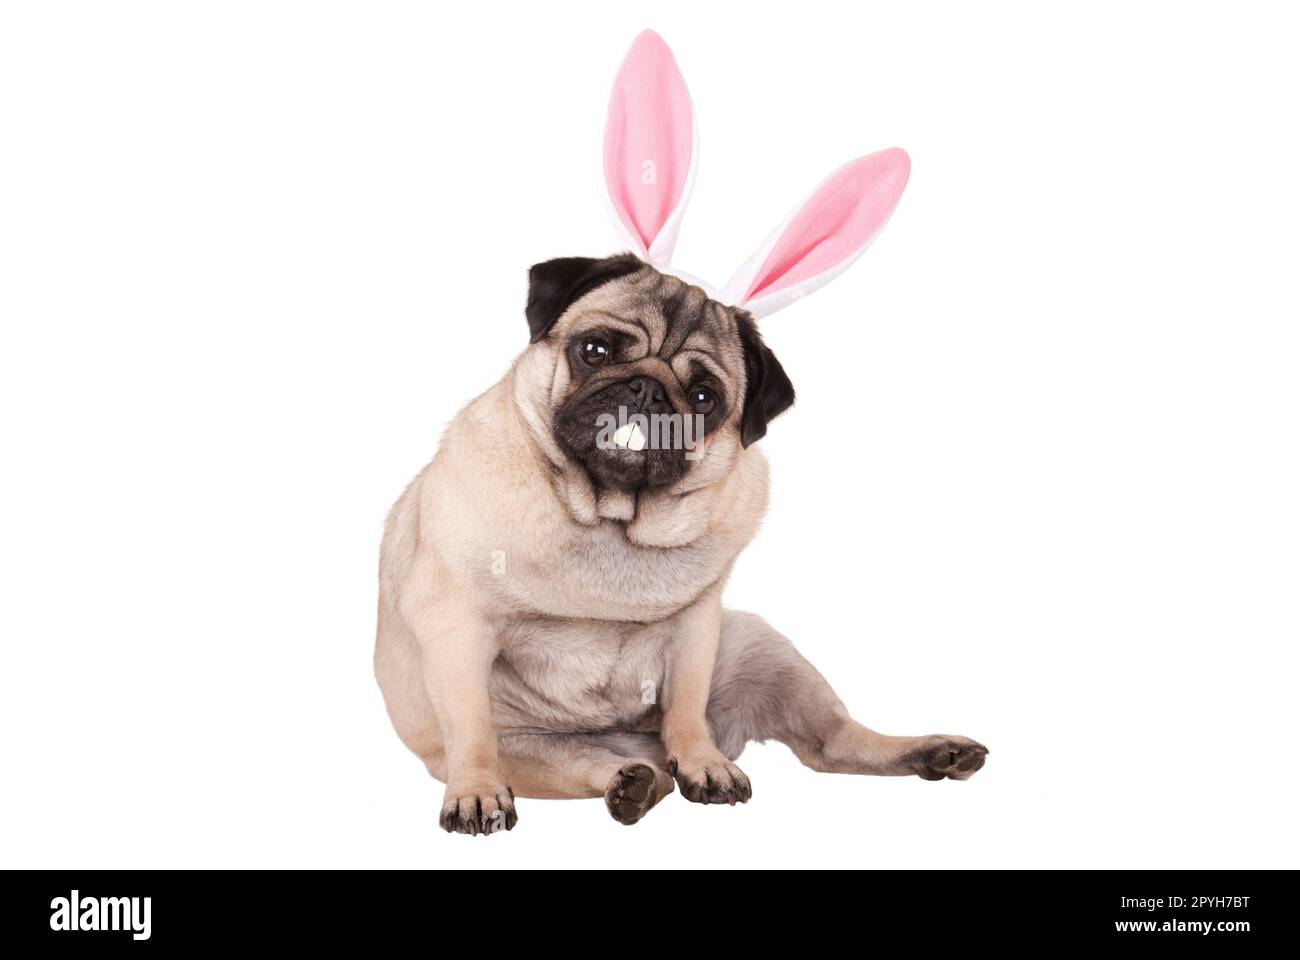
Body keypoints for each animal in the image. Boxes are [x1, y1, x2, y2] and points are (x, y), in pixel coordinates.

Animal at [374, 254, 982, 832]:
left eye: (704, 397)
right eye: (594, 350)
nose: (645, 387)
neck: (610, 513)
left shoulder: (697, 626)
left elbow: (687, 706)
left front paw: (703, 765)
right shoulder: (458, 627)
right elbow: (472, 727)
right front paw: (476, 793)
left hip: (765, 650)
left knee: (833, 744)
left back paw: (937, 753)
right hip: (531, 752)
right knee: (601, 767)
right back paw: (630, 783)